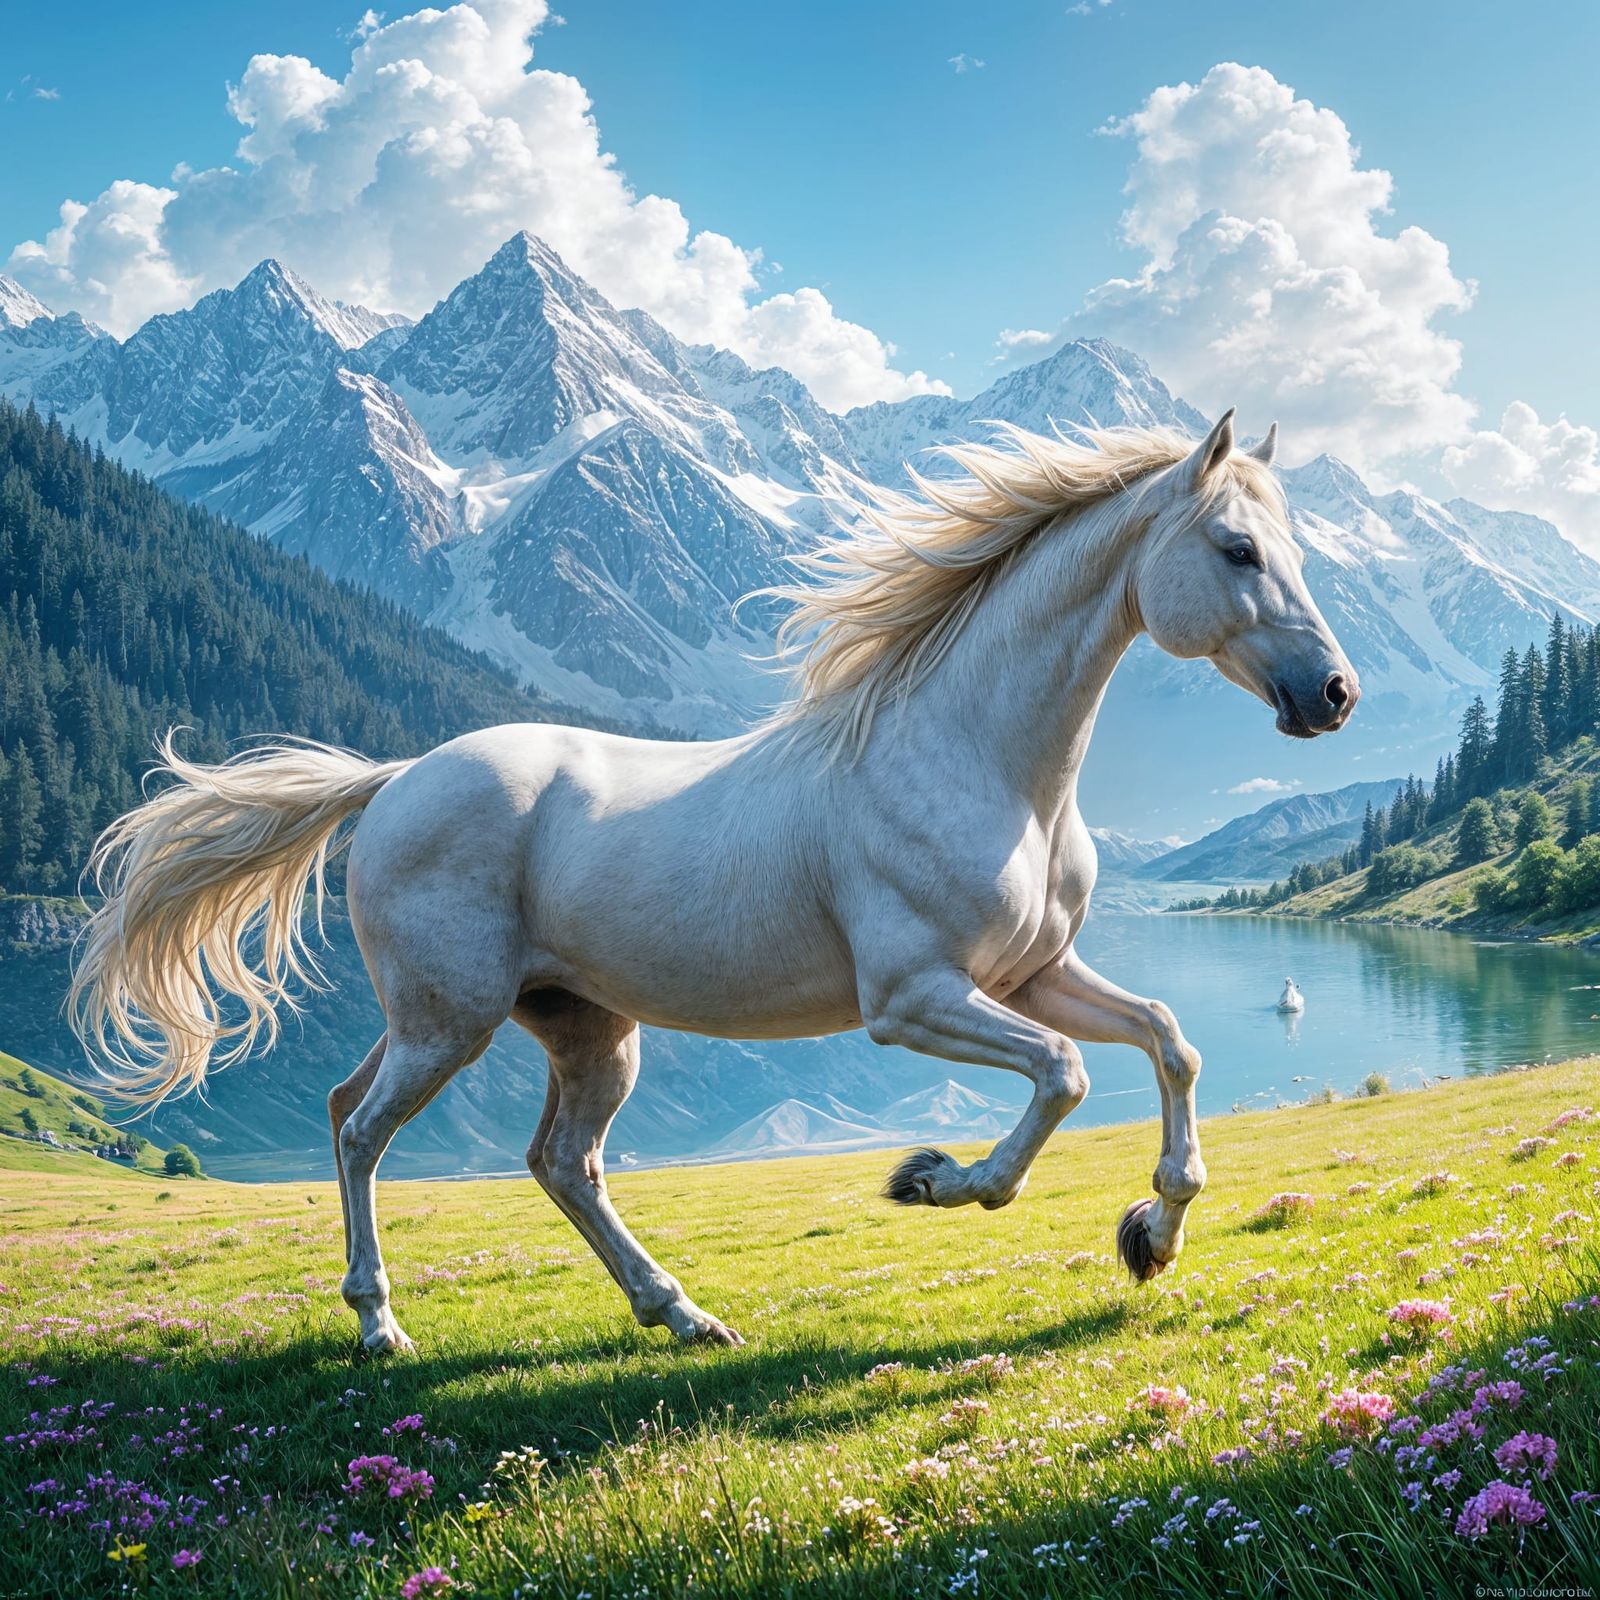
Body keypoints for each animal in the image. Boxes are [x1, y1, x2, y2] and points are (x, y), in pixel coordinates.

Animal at [69, 408, 1358, 1355]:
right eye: (1237, 551)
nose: (1333, 695)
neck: (971, 755)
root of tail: (393, 782)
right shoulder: (914, 1001)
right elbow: (1066, 1076)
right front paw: (937, 1180)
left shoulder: (1035, 972)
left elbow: (1167, 1041)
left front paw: (1154, 1231)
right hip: (448, 1020)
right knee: (355, 1129)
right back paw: (380, 1325)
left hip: (577, 1024)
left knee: (552, 1159)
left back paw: (679, 1313)